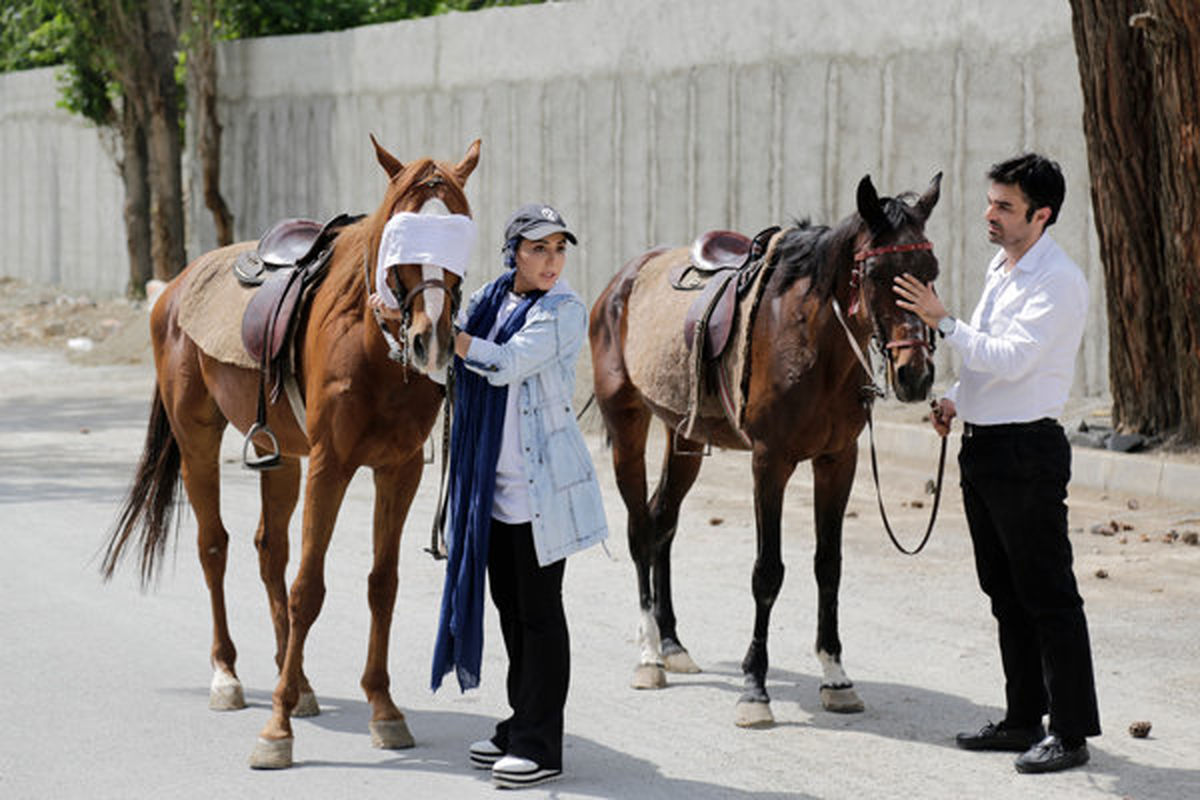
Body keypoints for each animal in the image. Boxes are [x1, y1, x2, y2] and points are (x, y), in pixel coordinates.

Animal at [100, 137, 480, 767]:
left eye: (459, 228)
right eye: (399, 233)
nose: (433, 340)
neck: (371, 340)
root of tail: (172, 290)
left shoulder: (397, 470)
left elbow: (382, 584)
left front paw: (383, 709)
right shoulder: (331, 464)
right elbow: (310, 588)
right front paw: (276, 730)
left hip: (279, 455)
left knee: (268, 549)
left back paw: (295, 681)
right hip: (197, 437)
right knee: (215, 547)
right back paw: (228, 676)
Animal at [595, 173, 940, 724]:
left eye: (931, 272)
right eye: (876, 273)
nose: (915, 376)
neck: (814, 343)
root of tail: (621, 282)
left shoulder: (837, 461)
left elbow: (829, 565)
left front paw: (836, 676)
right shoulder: (769, 462)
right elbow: (767, 572)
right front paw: (754, 688)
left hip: (684, 435)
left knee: (662, 520)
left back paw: (672, 644)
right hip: (627, 423)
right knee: (639, 528)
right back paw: (649, 655)